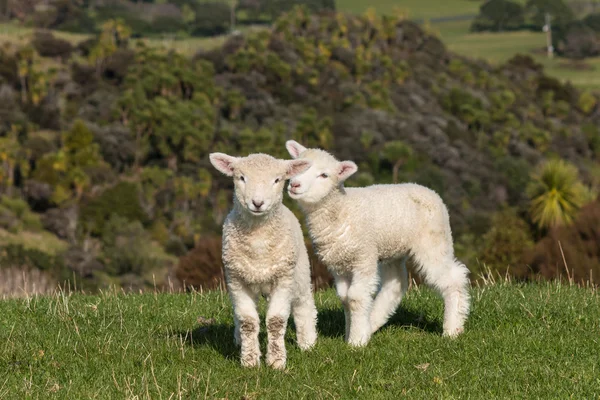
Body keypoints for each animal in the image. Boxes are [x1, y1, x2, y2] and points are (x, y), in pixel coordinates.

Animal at [209, 152, 318, 368]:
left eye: (277, 180)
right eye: (241, 178)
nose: (257, 203)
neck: (258, 242)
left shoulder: (283, 279)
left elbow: (276, 321)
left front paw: (276, 362)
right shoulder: (236, 280)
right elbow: (247, 321)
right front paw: (250, 360)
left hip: (300, 271)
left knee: (304, 304)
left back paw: (308, 342)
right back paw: (238, 339)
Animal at [284, 141, 472, 346]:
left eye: (324, 175)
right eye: (298, 165)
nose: (294, 184)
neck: (341, 209)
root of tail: (430, 192)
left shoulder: (363, 257)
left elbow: (355, 297)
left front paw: (356, 341)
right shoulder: (339, 263)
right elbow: (345, 298)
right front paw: (351, 333)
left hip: (433, 241)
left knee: (453, 278)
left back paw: (452, 329)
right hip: (394, 248)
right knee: (396, 284)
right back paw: (372, 322)